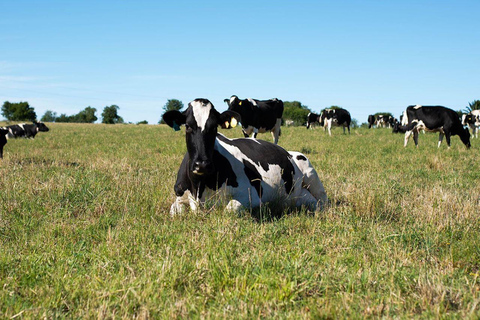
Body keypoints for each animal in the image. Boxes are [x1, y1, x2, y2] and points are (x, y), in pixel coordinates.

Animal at [164, 97, 326, 215]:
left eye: (214, 127)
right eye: (187, 126)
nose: (202, 164)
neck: (199, 187)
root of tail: (287, 151)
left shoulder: (252, 195)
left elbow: (230, 209)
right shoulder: (179, 195)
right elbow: (175, 210)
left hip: (310, 172)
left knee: (323, 200)